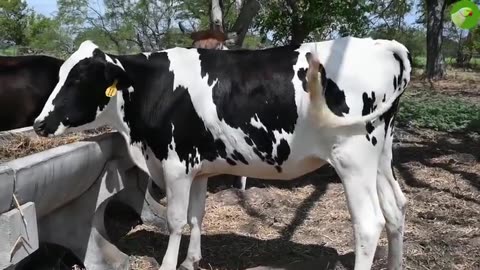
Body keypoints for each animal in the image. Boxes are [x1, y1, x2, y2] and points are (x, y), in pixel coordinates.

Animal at [32, 37, 412, 270]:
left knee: (369, 223)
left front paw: (169, 264)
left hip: (352, 159)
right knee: (395, 209)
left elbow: (176, 220)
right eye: (61, 74)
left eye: (79, 79)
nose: (38, 123)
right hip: (380, 157)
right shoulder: (198, 167)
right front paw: (191, 260)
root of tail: (380, 43)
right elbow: (196, 216)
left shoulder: (176, 163)